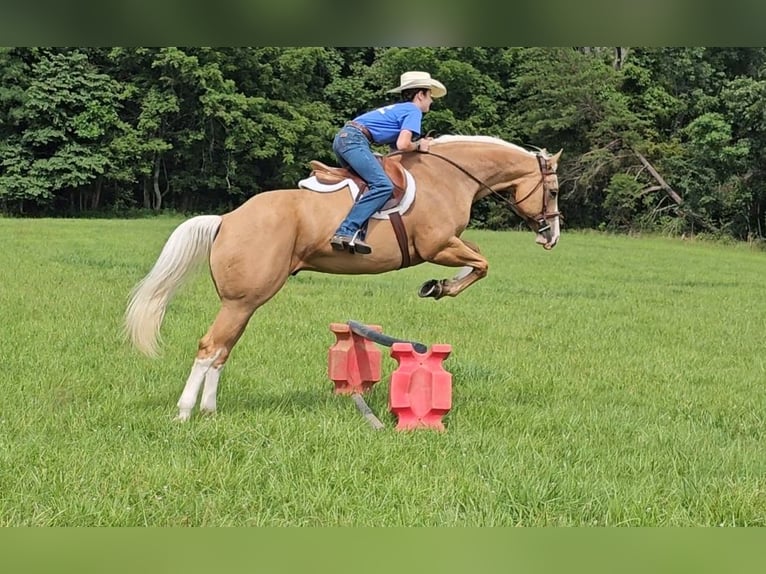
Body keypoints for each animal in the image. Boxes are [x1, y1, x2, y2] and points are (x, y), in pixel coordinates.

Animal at [123, 137, 560, 420]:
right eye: (554, 191)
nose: (552, 237)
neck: (449, 177)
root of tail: (227, 219)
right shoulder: (437, 245)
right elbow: (482, 263)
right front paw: (438, 287)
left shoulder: (447, 244)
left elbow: (478, 258)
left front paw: (437, 286)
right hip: (241, 302)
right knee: (209, 347)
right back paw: (184, 414)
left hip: (245, 304)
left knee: (221, 351)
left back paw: (210, 412)